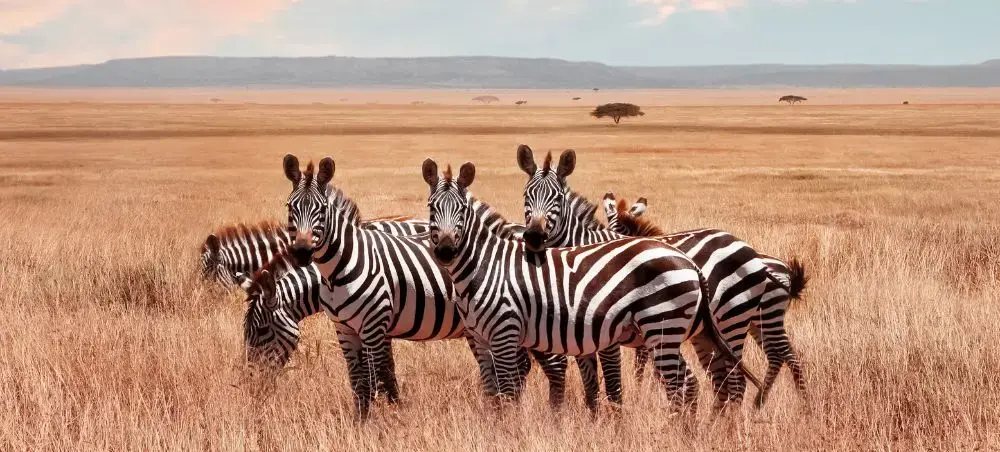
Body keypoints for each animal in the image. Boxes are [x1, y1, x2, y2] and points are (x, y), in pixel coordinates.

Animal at [420, 158, 762, 411]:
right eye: (431, 207)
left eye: (462, 211)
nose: (445, 252)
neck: (486, 265)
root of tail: (689, 262)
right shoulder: (485, 337)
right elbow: (499, 391)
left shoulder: (509, 333)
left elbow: (512, 393)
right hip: (693, 332)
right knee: (710, 380)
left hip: (689, 325)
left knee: (702, 382)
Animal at [602, 193, 808, 408]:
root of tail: (779, 267)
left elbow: (643, 363)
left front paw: (642, 391)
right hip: (756, 320)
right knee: (776, 355)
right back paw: (759, 403)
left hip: (766, 316)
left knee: (787, 355)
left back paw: (804, 403)